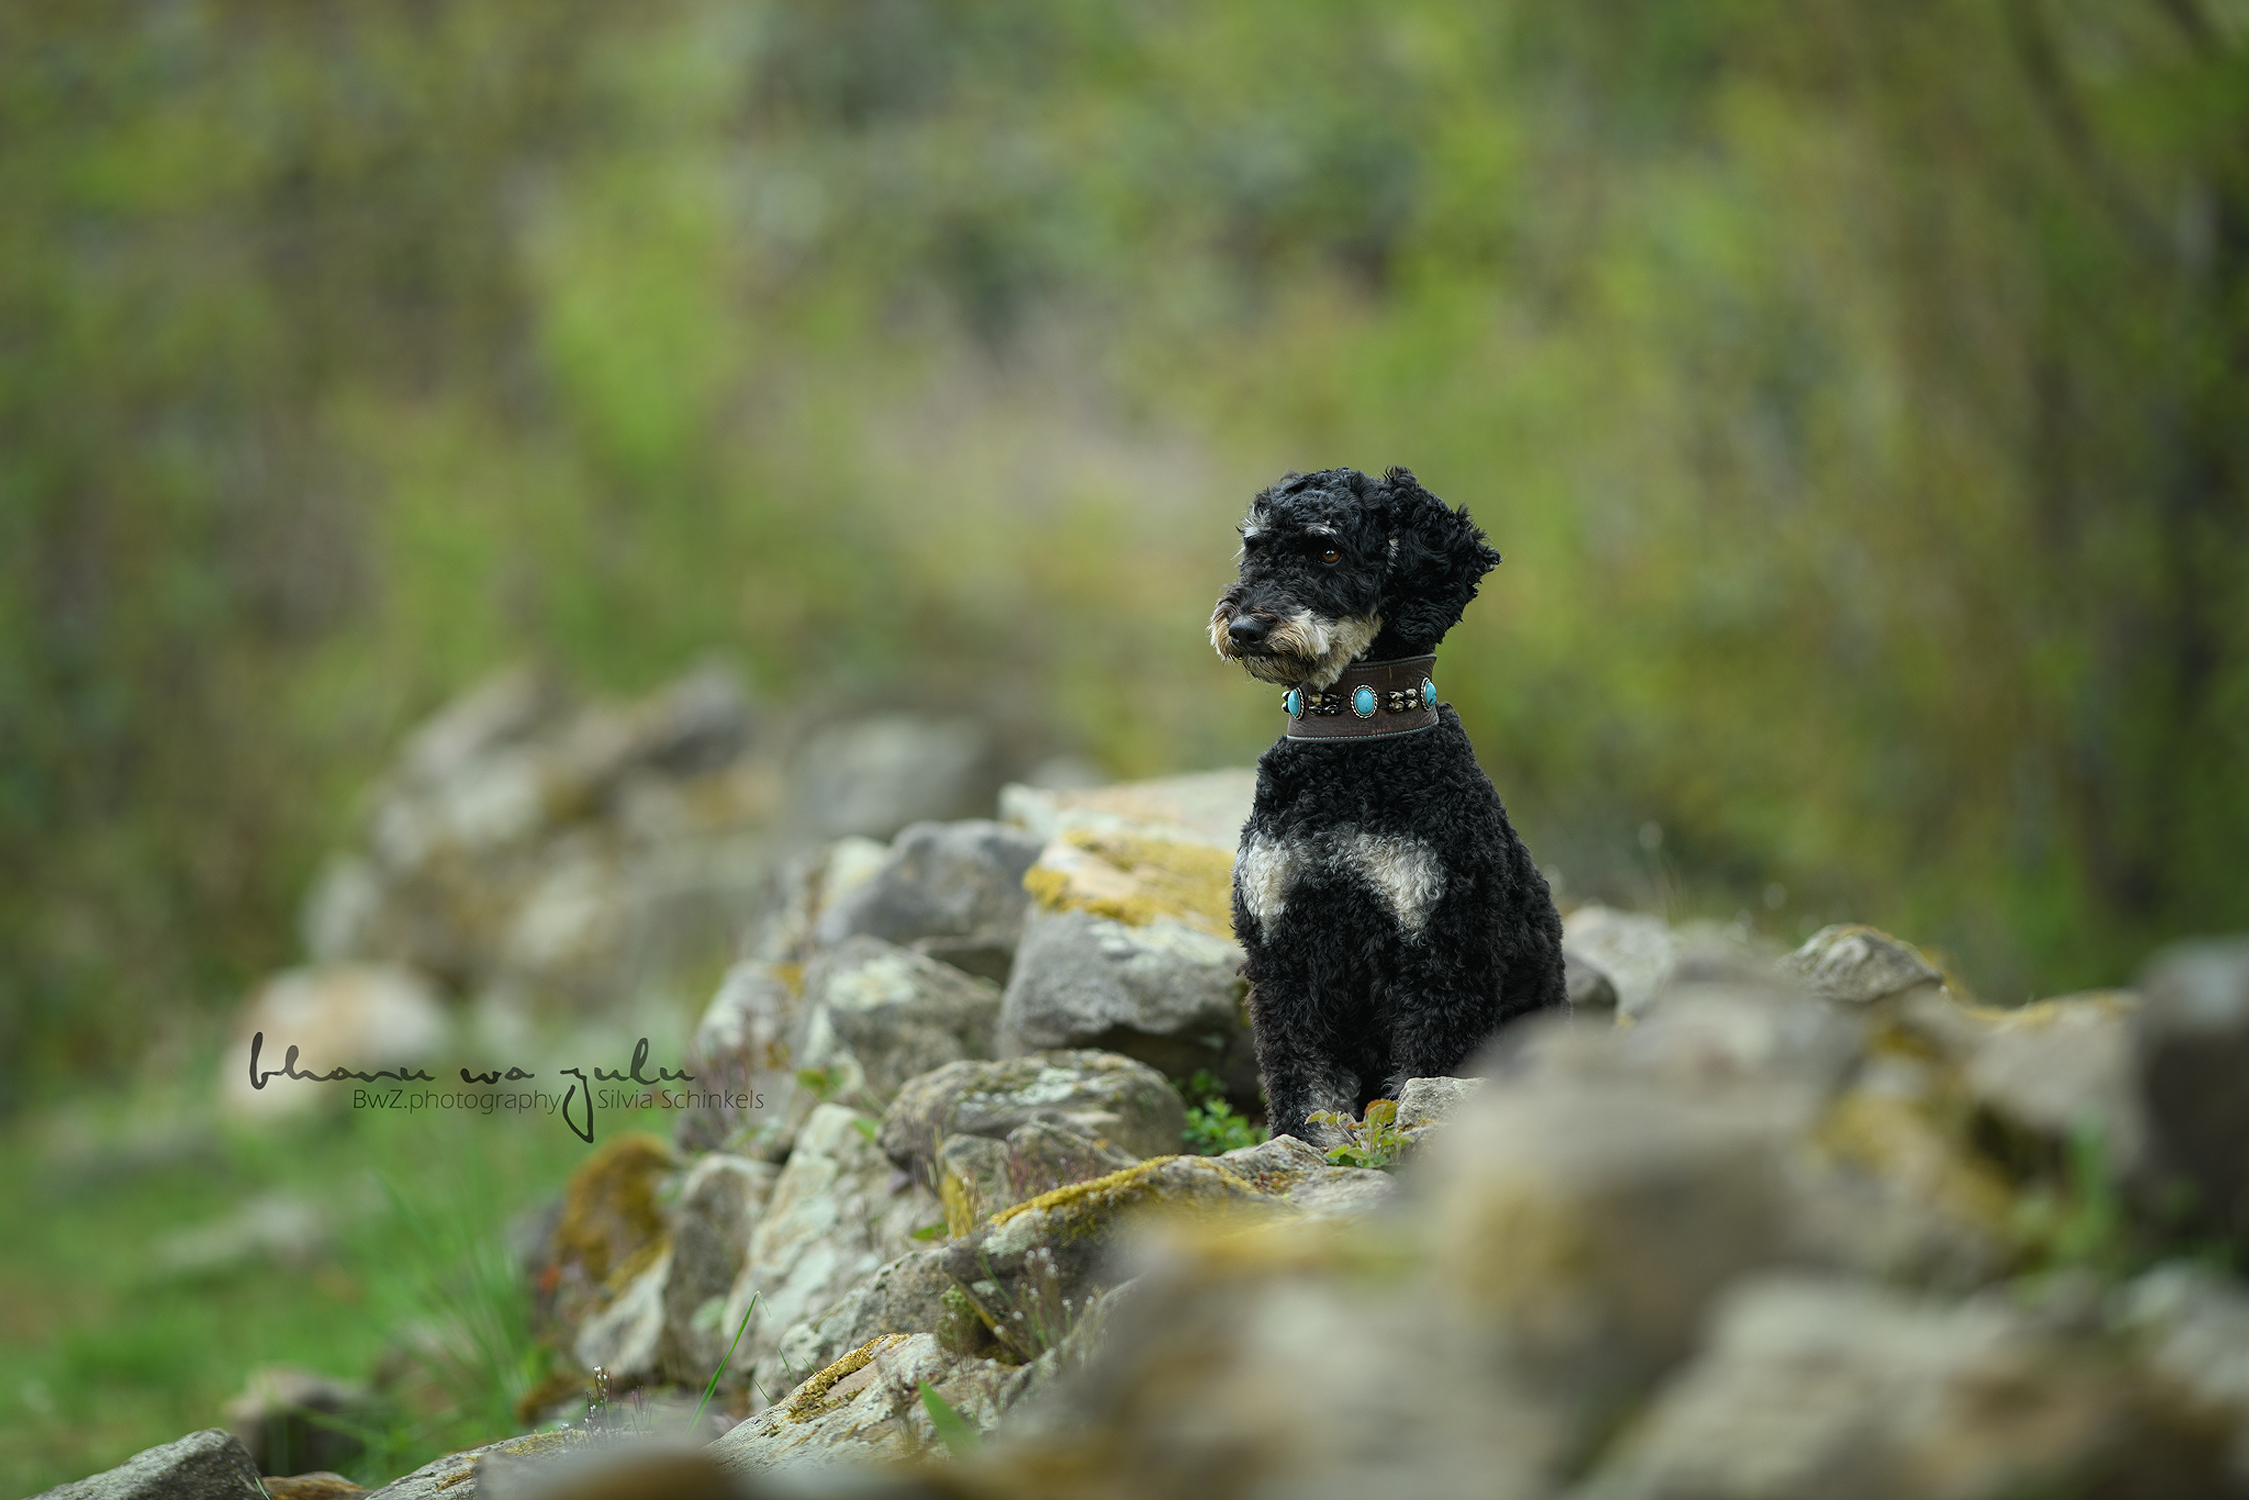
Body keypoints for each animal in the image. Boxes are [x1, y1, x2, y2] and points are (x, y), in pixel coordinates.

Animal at [1214, 463, 1565, 1142]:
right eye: (1257, 549)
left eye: (1328, 551)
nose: (1242, 629)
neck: (1352, 748)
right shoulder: (1282, 954)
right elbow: (1304, 1085)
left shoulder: (1440, 956)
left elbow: (1419, 1079)